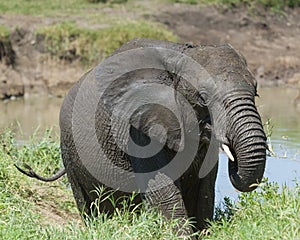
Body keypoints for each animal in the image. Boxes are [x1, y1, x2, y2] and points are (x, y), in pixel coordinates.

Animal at [15, 38, 266, 235]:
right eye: (203, 97)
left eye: (256, 91)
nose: (233, 157)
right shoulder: (138, 128)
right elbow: (162, 190)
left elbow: (203, 190)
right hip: (69, 151)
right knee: (87, 204)